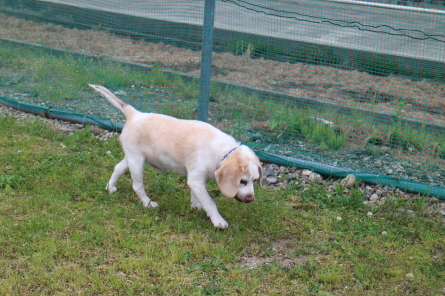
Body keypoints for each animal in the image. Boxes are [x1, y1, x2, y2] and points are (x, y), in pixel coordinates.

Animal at [91, 84, 264, 228]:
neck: (223, 151)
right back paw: (148, 203)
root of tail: (134, 113)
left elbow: (197, 195)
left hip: (132, 157)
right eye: (242, 181)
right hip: (137, 161)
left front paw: (195, 204)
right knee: (137, 185)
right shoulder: (196, 180)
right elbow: (210, 203)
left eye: (255, 180)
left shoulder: (196, 181)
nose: (251, 199)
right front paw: (218, 221)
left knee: (118, 168)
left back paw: (110, 187)